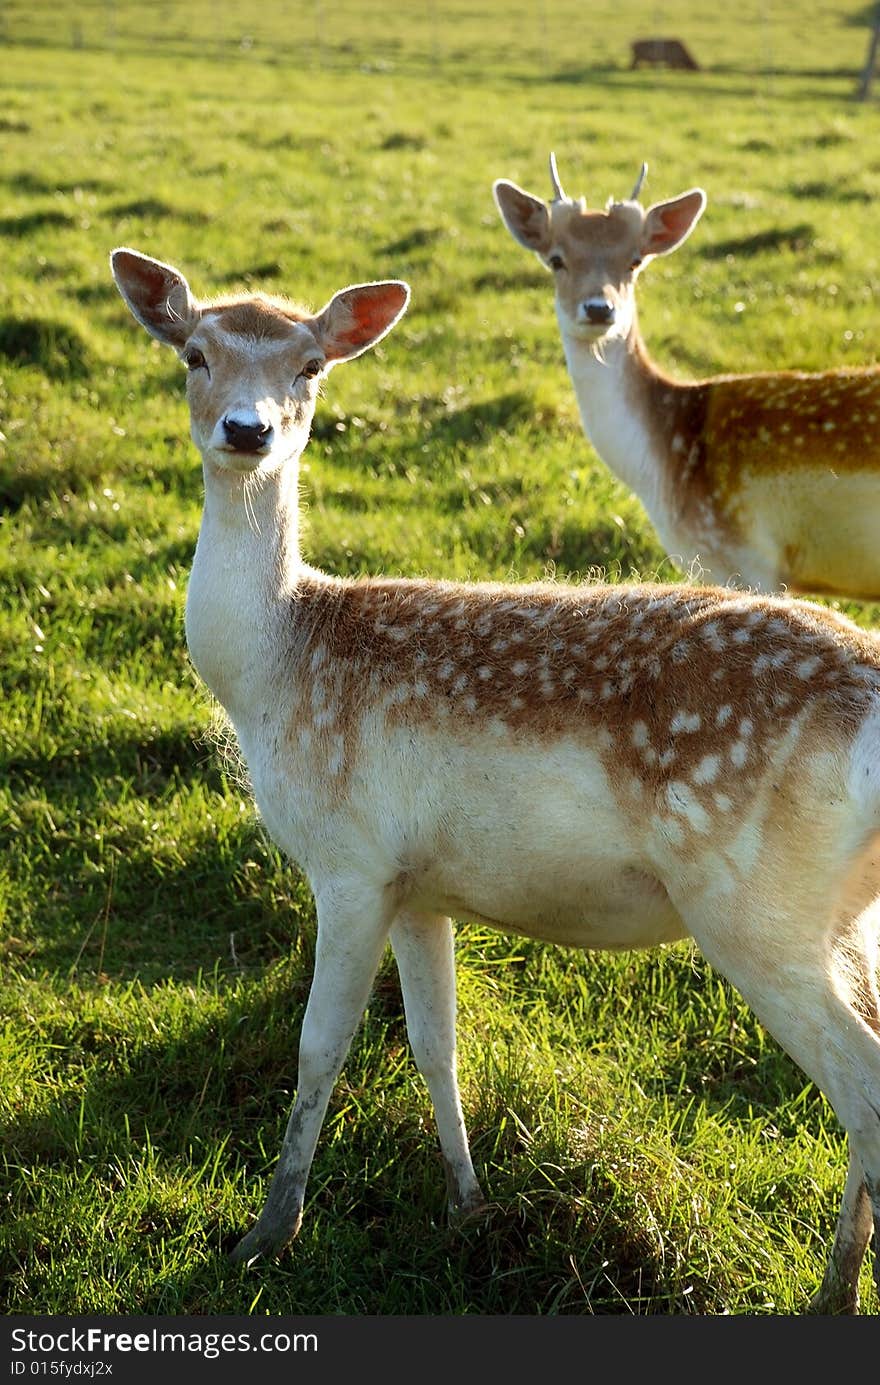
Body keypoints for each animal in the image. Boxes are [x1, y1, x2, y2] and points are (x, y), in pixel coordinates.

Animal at [110, 243, 880, 1312]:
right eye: (194, 354)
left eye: (310, 364)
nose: (248, 429)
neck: (274, 669)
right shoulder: (420, 884)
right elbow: (436, 1041)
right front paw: (467, 1204)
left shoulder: (347, 860)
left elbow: (319, 1045)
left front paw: (265, 1234)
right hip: (847, 914)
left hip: (756, 905)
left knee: (866, 1091)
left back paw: (834, 1294)